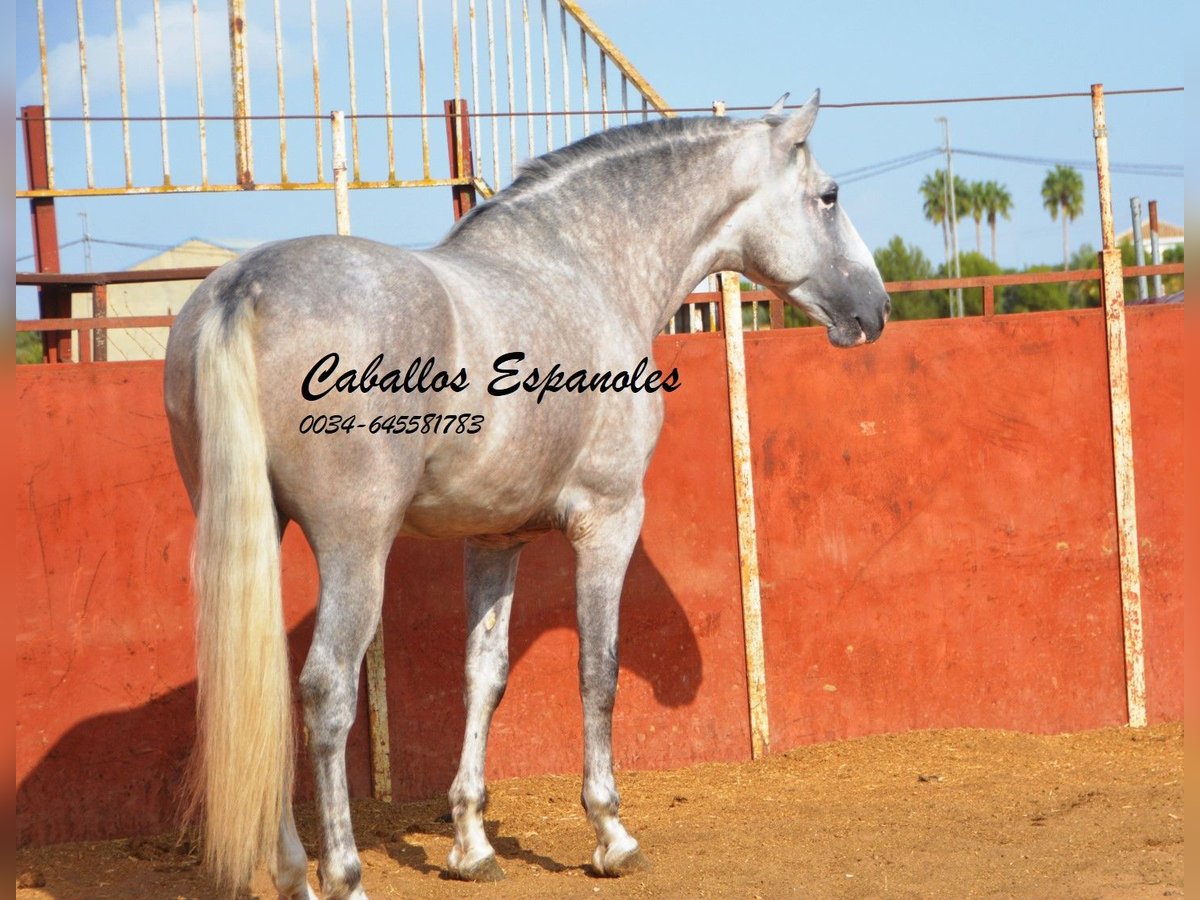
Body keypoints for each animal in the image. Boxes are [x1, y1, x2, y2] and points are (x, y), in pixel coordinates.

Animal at [164, 88, 888, 897]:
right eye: (829, 196)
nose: (875, 311)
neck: (584, 269)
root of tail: (243, 289)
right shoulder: (610, 520)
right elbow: (598, 672)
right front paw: (611, 834)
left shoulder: (493, 539)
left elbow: (485, 677)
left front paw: (471, 846)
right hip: (355, 547)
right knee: (326, 692)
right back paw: (342, 874)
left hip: (257, 530)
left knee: (259, 698)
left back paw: (294, 872)